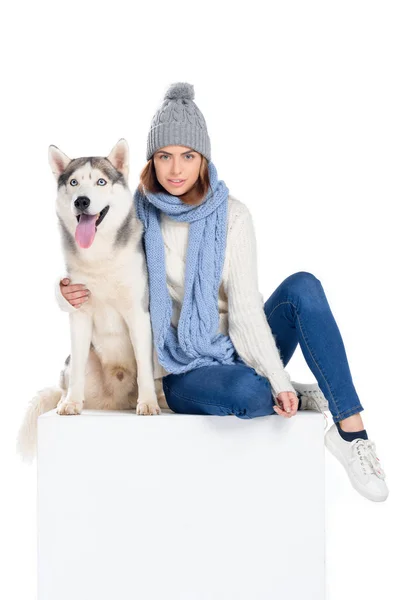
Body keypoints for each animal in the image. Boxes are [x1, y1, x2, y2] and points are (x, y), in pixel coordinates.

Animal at [16, 141, 166, 464]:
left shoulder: (138, 314)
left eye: (101, 182)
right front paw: (71, 404)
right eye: (73, 183)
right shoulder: (80, 315)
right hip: (77, 364)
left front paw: (148, 403)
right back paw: (67, 399)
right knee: (69, 379)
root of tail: (117, 403)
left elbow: (144, 368)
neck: (100, 258)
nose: (82, 202)